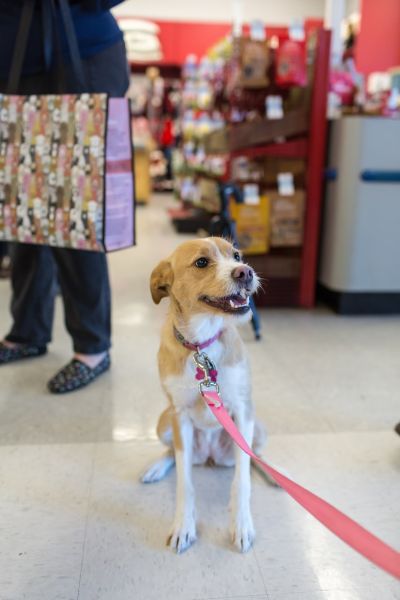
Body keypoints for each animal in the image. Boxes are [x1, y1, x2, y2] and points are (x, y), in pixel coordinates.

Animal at [142, 238, 268, 552]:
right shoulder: (179, 417)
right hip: (163, 423)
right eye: (201, 262)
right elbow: (184, 482)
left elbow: (242, 479)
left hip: (259, 427)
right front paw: (183, 526)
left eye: (236, 255)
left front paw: (241, 524)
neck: (201, 345)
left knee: (252, 456)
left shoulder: (243, 410)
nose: (245, 272)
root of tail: (210, 456)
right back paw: (155, 468)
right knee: (171, 454)